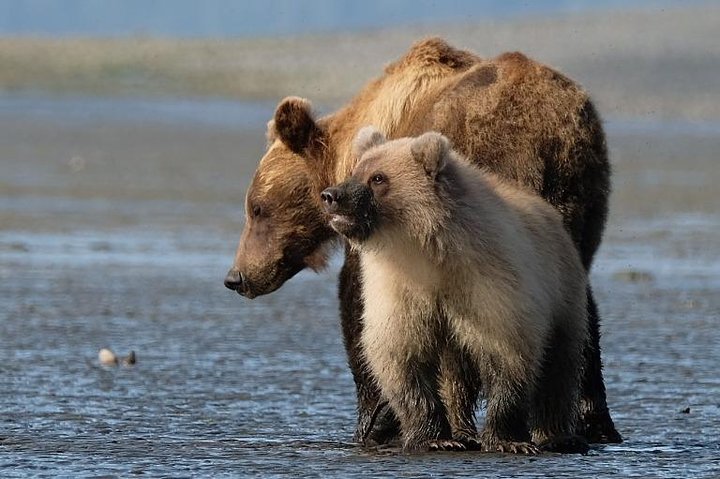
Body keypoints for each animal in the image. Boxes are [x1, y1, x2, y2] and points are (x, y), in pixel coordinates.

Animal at [320, 127, 589, 454]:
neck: (429, 250)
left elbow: (508, 354)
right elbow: (401, 356)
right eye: (355, 171)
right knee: (454, 376)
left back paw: (558, 435)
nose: (331, 196)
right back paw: (463, 432)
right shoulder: (401, 288)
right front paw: (435, 438)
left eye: (378, 178)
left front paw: (508, 440)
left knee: (560, 365)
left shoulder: (488, 281)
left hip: (563, 288)